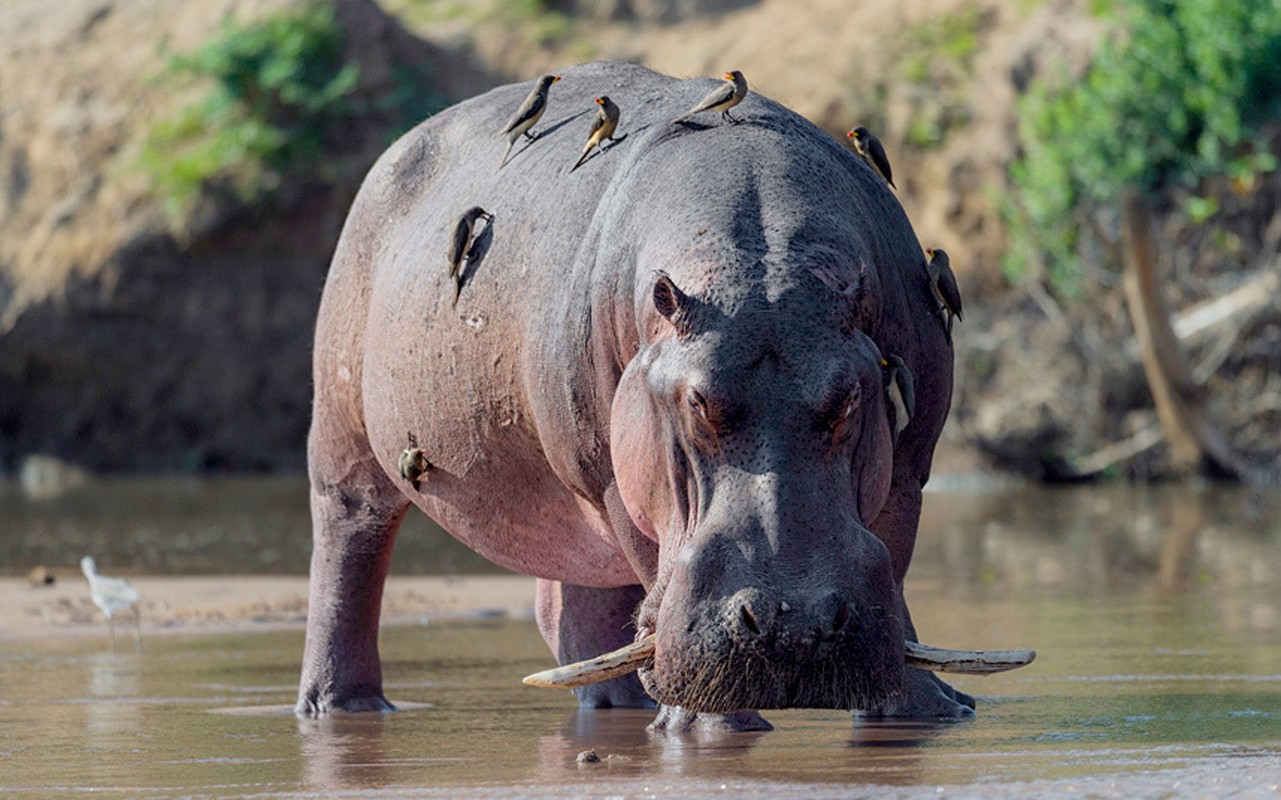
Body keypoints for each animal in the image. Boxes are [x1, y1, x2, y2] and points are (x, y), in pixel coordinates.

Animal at [299, 59, 973, 727]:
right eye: (696, 401)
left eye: (850, 398)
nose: (794, 624)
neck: (762, 271)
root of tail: (399, 148)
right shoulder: (612, 477)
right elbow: (657, 563)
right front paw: (711, 727)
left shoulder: (911, 464)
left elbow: (894, 562)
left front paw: (926, 713)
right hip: (347, 440)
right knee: (349, 545)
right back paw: (343, 706)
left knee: (581, 600)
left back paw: (621, 706)